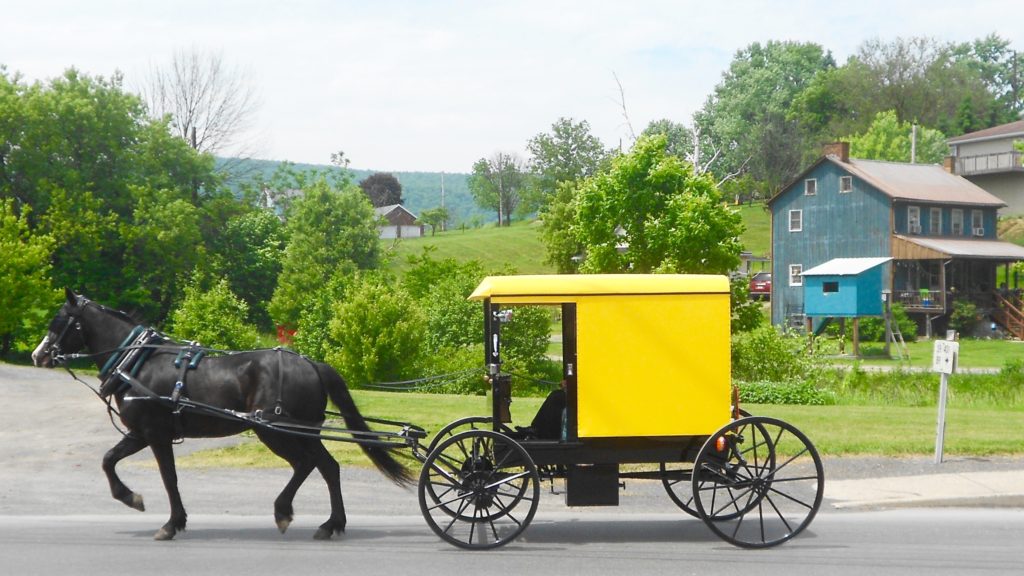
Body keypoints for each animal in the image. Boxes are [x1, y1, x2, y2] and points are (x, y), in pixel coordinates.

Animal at [34, 289, 413, 541]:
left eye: (59, 321)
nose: (39, 355)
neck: (138, 362)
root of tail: (311, 364)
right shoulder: (141, 433)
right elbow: (109, 460)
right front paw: (133, 498)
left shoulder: (155, 433)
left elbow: (168, 478)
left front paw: (169, 522)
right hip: (297, 430)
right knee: (325, 466)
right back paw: (329, 523)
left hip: (276, 430)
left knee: (311, 464)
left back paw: (290, 513)